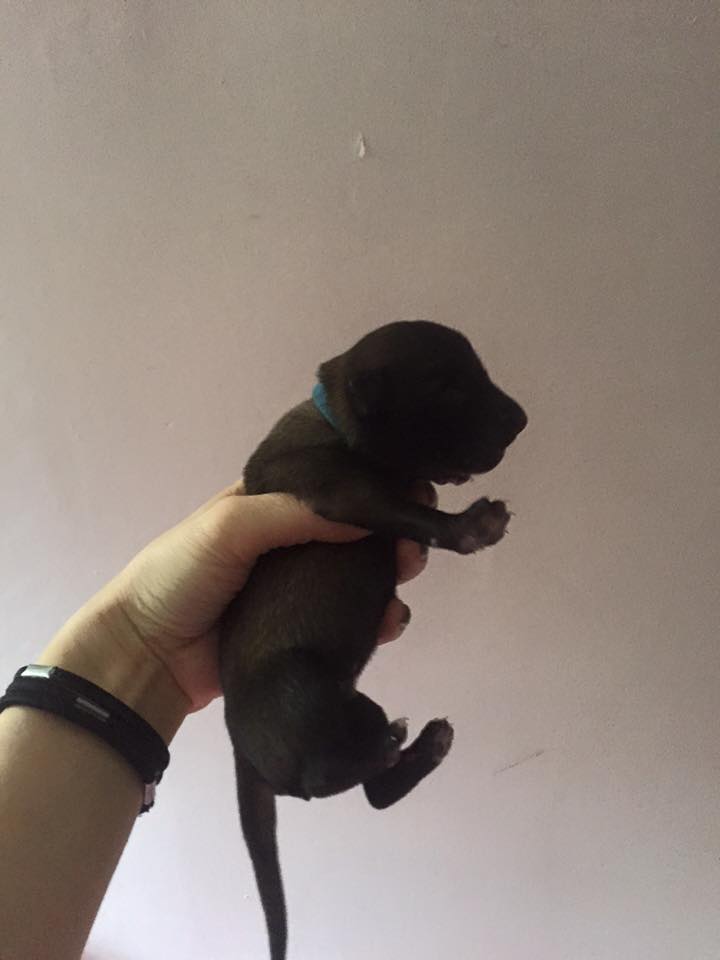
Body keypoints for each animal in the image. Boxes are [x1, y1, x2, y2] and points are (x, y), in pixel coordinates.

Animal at [219, 321, 527, 960]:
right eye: (446, 388)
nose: (521, 420)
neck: (335, 419)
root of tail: (244, 752)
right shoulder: (344, 498)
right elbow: (415, 514)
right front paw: (473, 526)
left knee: (371, 794)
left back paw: (418, 745)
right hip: (305, 686)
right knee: (332, 784)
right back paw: (393, 745)